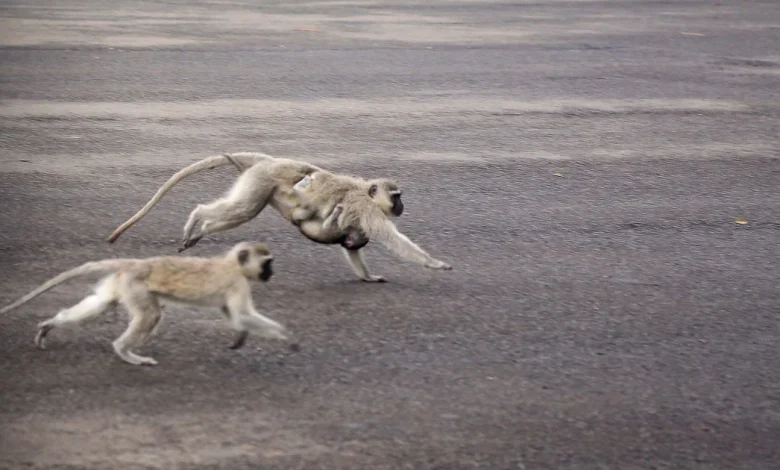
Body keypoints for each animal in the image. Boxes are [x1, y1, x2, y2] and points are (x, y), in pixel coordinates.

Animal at [0, 242, 294, 366]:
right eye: (267, 263)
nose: (271, 274)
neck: (232, 264)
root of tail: (137, 263)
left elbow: (234, 316)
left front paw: (241, 335)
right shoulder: (237, 282)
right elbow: (242, 314)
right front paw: (285, 336)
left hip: (122, 282)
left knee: (102, 303)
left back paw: (50, 325)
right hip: (135, 286)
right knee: (150, 315)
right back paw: (125, 352)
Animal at [107, 152, 452, 283]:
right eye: (397, 196)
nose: (401, 206)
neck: (364, 192)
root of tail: (272, 161)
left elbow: (351, 246)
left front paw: (367, 276)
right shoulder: (366, 210)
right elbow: (392, 238)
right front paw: (435, 263)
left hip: (262, 184)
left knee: (242, 211)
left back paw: (198, 230)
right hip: (261, 182)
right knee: (239, 209)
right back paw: (197, 219)